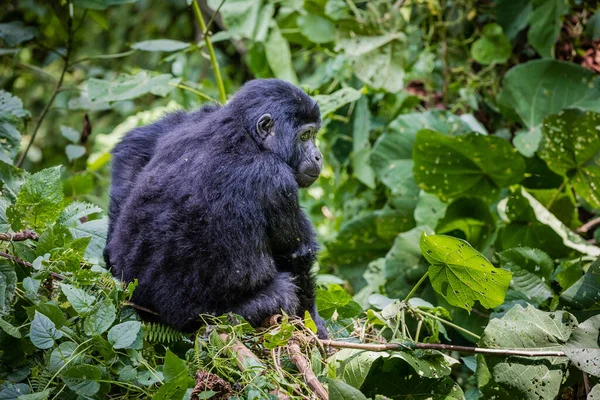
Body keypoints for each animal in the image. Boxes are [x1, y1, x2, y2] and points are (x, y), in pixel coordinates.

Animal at [103, 78, 328, 338]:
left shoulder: (204, 116)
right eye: (305, 136)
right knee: (283, 293)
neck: (248, 134)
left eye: (313, 134)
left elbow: (138, 141)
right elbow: (297, 256)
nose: (318, 156)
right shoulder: (276, 179)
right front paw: (315, 325)